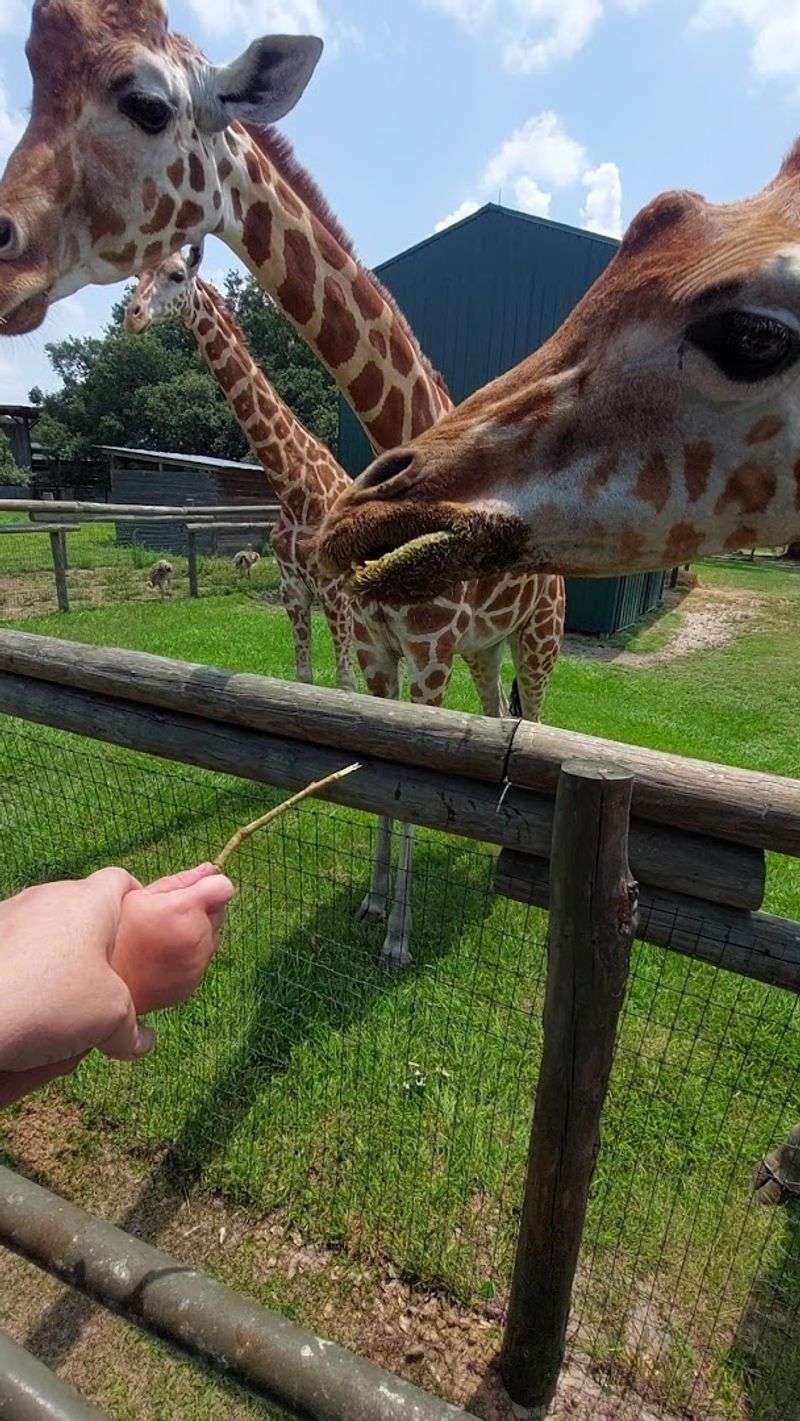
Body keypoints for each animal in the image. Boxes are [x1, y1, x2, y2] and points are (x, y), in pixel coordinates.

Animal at [124, 245, 356, 693]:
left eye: (177, 275)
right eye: (135, 276)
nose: (133, 315)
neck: (295, 489)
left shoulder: (334, 592)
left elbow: (345, 686)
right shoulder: (293, 589)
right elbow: (304, 677)